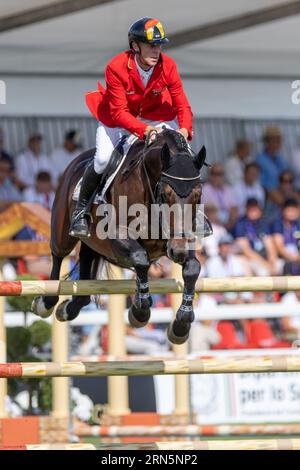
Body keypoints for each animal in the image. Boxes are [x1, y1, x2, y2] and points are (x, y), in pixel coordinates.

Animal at [31, 129, 207, 346]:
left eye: (198, 195)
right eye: (166, 194)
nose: (179, 251)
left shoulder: (177, 241)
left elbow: (192, 268)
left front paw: (181, 325)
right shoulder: (118, 238)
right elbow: (140, 259)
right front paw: (140, 311)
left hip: (94, 243)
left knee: (86, 267)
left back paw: (68, 308)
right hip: (62, 231)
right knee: (58, 255)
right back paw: (46, 302)